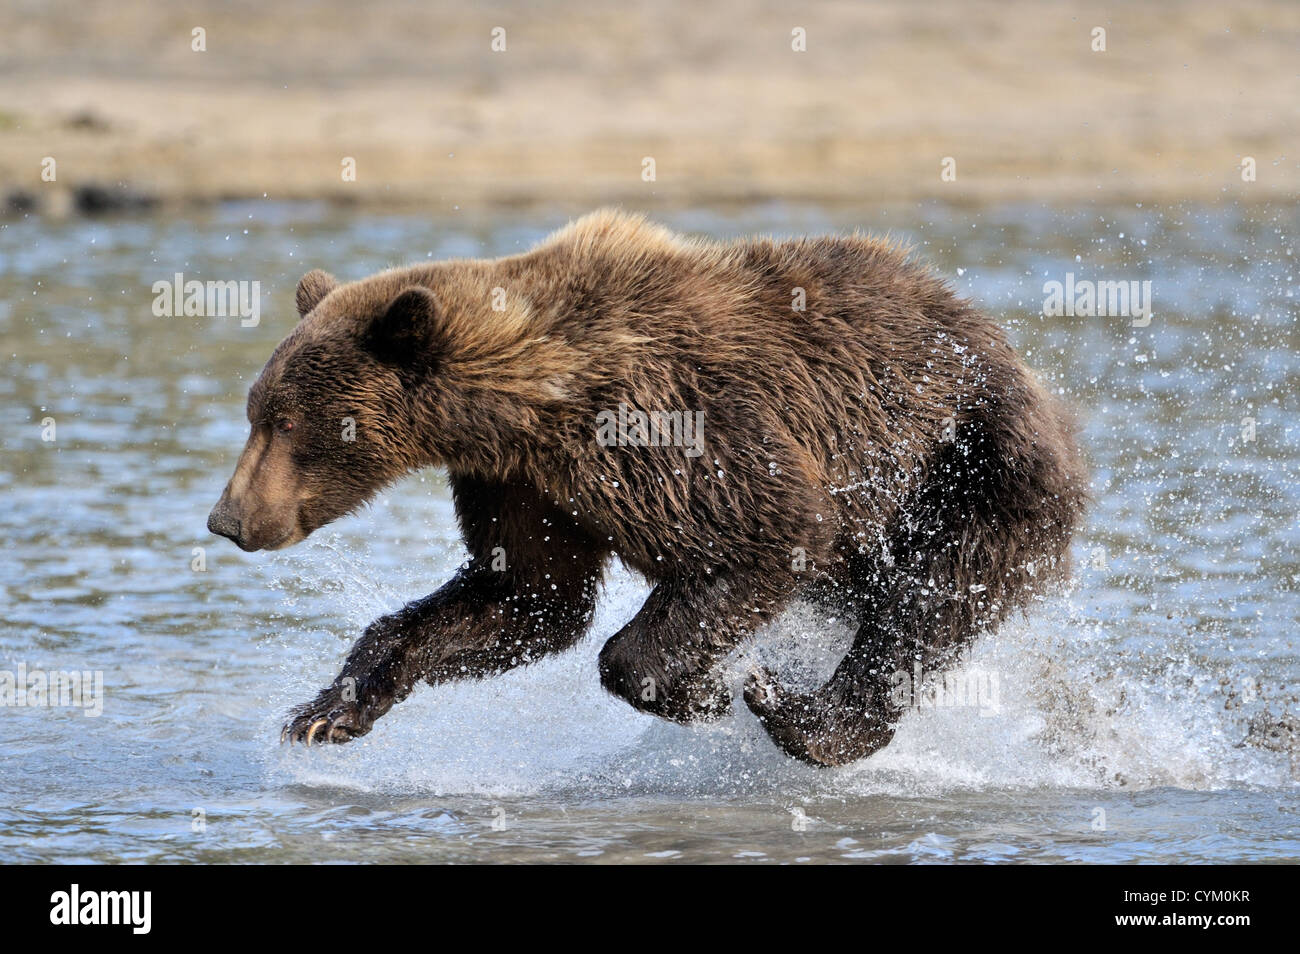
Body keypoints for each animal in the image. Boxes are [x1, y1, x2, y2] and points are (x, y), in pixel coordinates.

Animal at [205, 209, 1086, 769]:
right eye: (256, 411)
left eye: (286, 421)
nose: (228, 519)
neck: (528, 405)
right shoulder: (522, 485)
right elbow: (525, 596)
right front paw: (325, 712)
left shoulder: (671, 428)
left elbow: (769, 530)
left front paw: (704, 693)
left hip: (968, 465)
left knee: (927, 604)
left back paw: (803, 717)